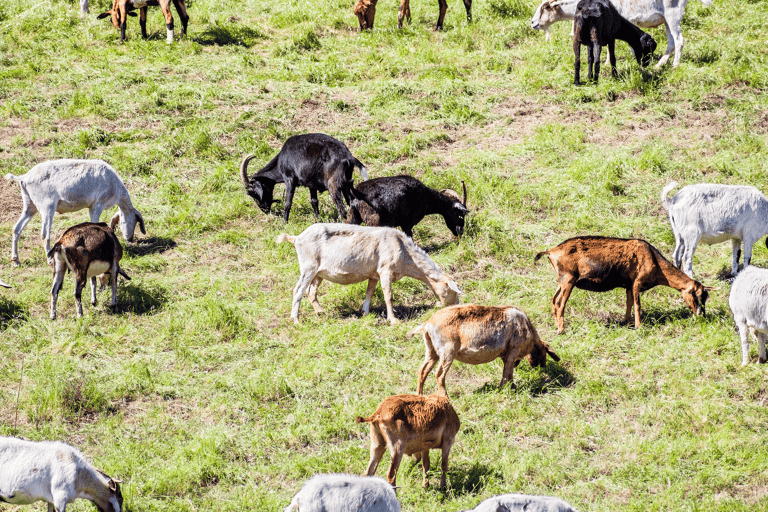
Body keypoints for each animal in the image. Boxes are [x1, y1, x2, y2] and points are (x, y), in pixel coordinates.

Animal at [5, 159, 145, 267]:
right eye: (134, 221)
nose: (130, 239)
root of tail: (24, 177)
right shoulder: (97, 204)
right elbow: (95, 224)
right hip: (47, 206)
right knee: (44, 234)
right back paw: (49, 260)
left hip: (30, 205)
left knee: (16, 229)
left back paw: (16, 260)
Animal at [277, 223, 461, 325]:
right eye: (452, 290)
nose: (455, 307)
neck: (404, 251)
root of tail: (296, 237)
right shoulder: (385, 270)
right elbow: (388, 296)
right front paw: (393, 320)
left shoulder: (374, 274)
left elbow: (370, 292)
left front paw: (365, 313)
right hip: (308, 267)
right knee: (298, 290)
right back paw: (296, 319)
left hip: (318, 273)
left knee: (311, 292)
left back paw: (321, 312)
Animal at [408, 304, 561, 396]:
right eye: (544, 352)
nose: (542, 367)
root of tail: (427, 324)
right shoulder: (513, 350)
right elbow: (507, 372)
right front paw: (504, 389)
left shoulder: (507, 355)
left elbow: (509, 372)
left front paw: (511, 388)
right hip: (447, 351)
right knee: (439, 374)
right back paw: (445, 397)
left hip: (431, 351)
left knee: (422, 371)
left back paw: (419, 395)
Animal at [531, 0, 711, 68]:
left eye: (545, 7)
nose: (533, 23)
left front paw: (605, 63)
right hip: (666, 19)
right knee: (671, 42)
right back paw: (660, 64)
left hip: (673, 15)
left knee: (679, 40)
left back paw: (675, 65)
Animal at [534, 236, 711, 333]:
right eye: (696, 296)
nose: (701, 315)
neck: (653, 259)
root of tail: (551, 251)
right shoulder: (637, 282)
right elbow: (637, 305)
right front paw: (639, 326)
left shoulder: (628, 285)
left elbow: (628, 303)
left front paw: (627, 323)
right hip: (568, 279)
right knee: (560, 303)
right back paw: (561, 329)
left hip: (562, 280)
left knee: (553, 300)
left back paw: (556, 326)